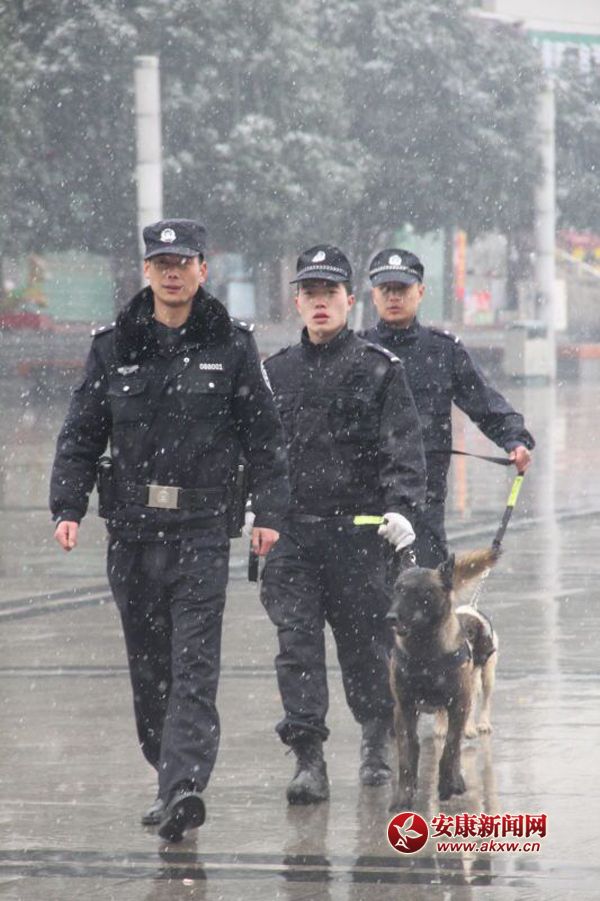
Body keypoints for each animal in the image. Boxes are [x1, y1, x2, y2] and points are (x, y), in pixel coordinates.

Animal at [386, 548, 498, 809]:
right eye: (397, 589)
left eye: (422, 592)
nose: (391, 617)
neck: (424, 653)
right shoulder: (403, 708)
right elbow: (407, 755)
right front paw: (404, 795)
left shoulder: (459, 704)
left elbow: (450, 748)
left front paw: (448, 783)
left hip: (486, 678)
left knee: (483, 704)